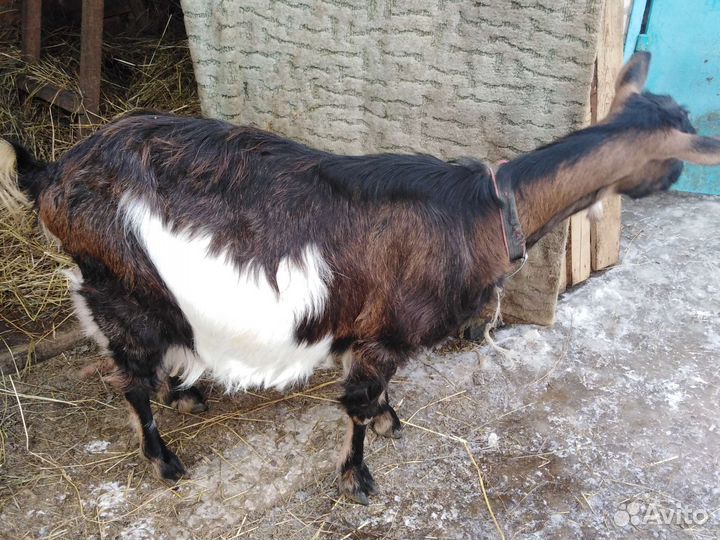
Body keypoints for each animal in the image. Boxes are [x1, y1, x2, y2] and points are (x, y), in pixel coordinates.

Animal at [1, 53, 719, 505]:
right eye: (679, 157)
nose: (677, 177)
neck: (485, 210)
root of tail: (51, 173)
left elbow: (374, 400)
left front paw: (390, 425)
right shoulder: (386, 334)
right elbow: (357, 404)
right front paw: (359, 477)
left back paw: (187, 393)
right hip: (119, 288)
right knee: (130, 379)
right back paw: (166, 459)